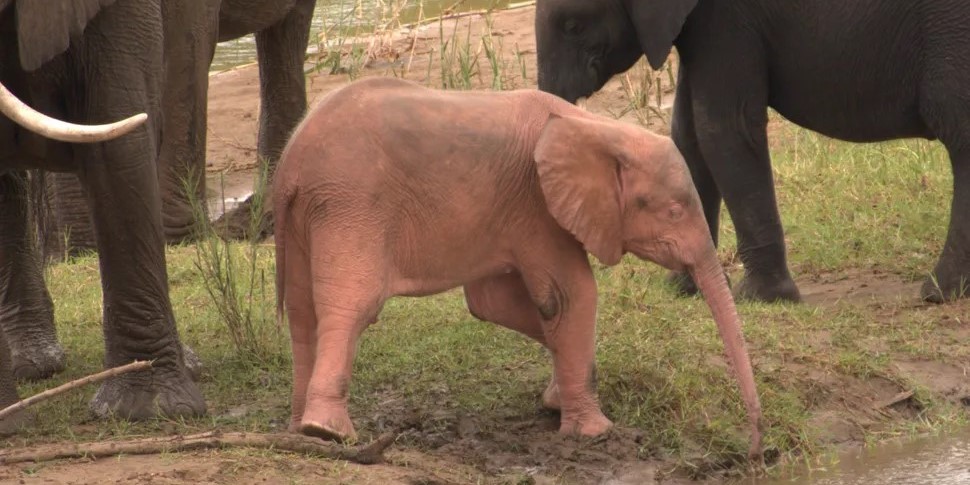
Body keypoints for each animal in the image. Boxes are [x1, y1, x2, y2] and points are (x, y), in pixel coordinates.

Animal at [272, 77, 764, 461]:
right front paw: (594, 433)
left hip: (309, 218)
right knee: (352, 306)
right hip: (352, 206)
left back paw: (300, 431)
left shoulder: (511, 211)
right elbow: (569, 296)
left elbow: (495, 304)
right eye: (675, 211)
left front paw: (556, 401)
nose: (761, 449)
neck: (595, 127)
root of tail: (289, 165)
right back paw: (328, 431)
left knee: (301, 312)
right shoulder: (537, 204)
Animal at [534, 0, 970, 303]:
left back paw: (938, 293)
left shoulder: (729, 20)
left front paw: (760, 298)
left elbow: (723, 130)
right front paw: (684, 289)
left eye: (573, 25)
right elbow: (687, 136)